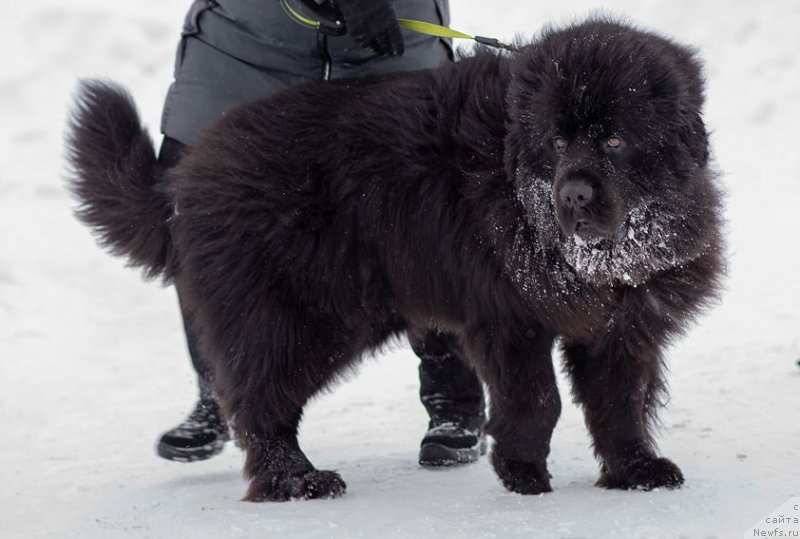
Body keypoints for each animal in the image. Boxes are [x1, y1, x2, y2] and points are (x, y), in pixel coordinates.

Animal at [67, 19, 724, 504]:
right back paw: (296, 481)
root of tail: (188, 175)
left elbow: (619, 401)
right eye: (558, 142)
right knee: (259, 401)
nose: (574, 196)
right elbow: (538, 400)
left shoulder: (618, 322)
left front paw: (635, 470)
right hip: (303, 320)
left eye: (614, 139)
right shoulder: (509, 317)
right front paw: (521, 472)